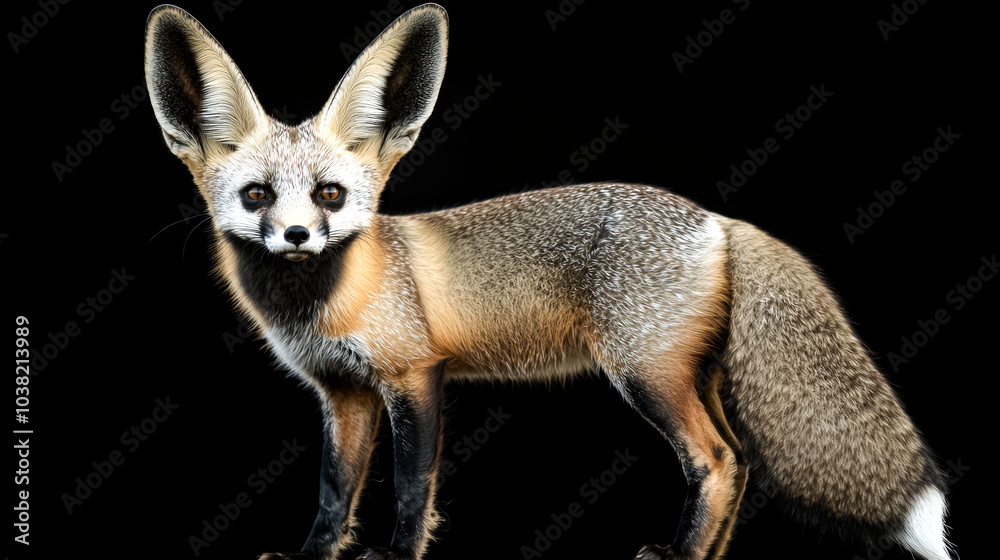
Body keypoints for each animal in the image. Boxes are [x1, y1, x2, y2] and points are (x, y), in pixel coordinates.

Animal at [144, 4, 953, 560]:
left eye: (330, 195)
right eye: (256, 196)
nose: (297, 236)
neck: (326, 300)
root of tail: (717, 218)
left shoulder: (415, 375)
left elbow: (410, 486)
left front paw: (398, 555)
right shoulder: (342, 394)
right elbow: (333, 491)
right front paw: (312, 555)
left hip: (646, 376)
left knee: (718, 461)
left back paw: (680, 555)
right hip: (696, 378)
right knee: (743, 463)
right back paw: (705, 554)